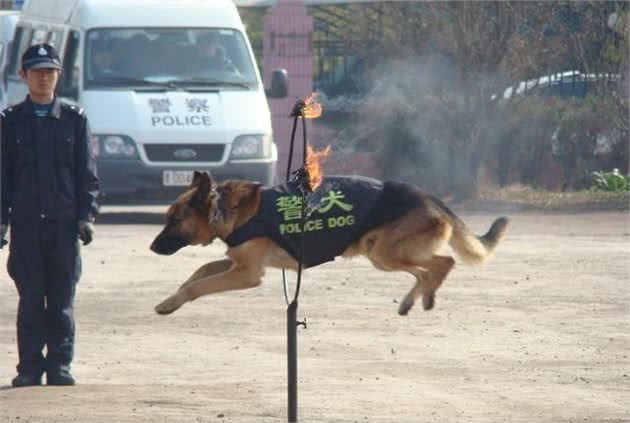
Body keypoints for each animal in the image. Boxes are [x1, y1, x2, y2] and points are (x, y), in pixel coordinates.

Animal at [151, 171, 512, 314]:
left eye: (174, 220)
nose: (152, 249)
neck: (225, 211)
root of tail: (430, 197)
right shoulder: (235, 262)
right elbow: (200, 271)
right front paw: (173, 296)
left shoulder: (246, 273)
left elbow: (200, 284)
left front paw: (170, 302)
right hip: (381, 255)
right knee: (427, 271)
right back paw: (415, 299)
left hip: (386, 253)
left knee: (443, 263)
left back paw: (424, 296)